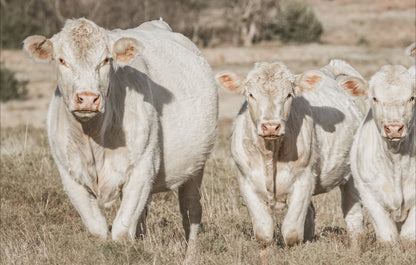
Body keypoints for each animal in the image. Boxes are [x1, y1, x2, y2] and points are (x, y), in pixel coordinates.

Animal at [22, 17, 218, 250]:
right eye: (62, 60)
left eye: (106, 60)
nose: (87, 98)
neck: (93, 139)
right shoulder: (70, 176)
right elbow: (98, 230)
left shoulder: (143, 168)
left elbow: (122, 232)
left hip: (195, 166)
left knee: (190, 211)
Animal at [218, 61, 364, 258]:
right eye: (251, 94)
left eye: (288, 95)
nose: (271, 126)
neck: (270, 153)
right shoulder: (246, 182)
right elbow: (264, 233)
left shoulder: (304, 180)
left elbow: (291, 232)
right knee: (310, 215)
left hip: (351, 177)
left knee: (354, 217)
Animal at [348, 63, 416, 240]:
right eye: (375, 98)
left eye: (411, 97)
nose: (393, 128)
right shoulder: (369, 194)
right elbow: (387, 235)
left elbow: (409, 235)